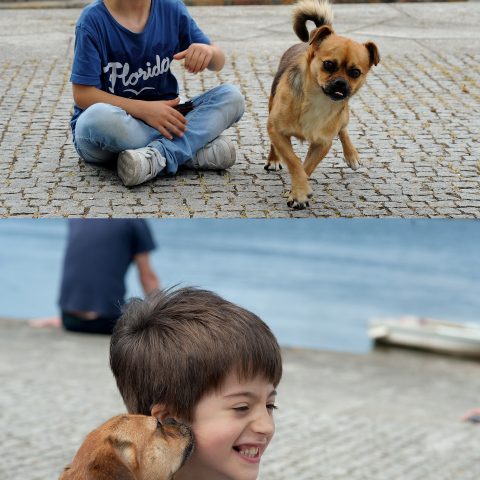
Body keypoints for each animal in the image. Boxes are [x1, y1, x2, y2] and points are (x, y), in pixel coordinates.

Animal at [266, 0, 378, 208]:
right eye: (328, 65)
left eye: (355, 73)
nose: (341, 83)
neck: (318, 101)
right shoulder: (277, 131)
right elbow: (294, 161)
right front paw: (300, 192)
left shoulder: (323, 143)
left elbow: (306, 167)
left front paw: (297, 191)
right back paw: (273, 159)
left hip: (344, 114)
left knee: (343, 128)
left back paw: (352, 155)